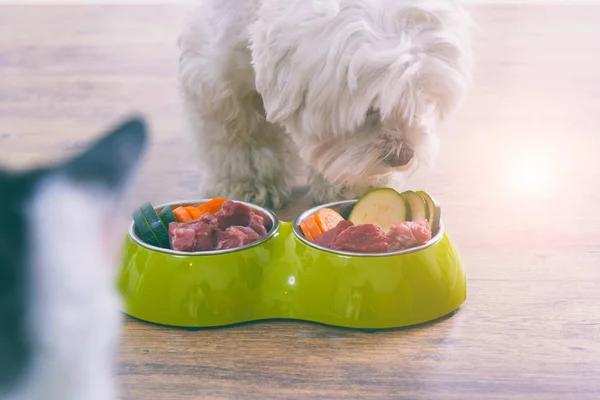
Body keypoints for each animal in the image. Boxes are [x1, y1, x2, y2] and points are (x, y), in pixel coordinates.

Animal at [178, 0, 474, 211]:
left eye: (419, 101)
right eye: (370, 109)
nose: (404, 156)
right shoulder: (218, 81)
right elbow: (242, 138)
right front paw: (249, 183)